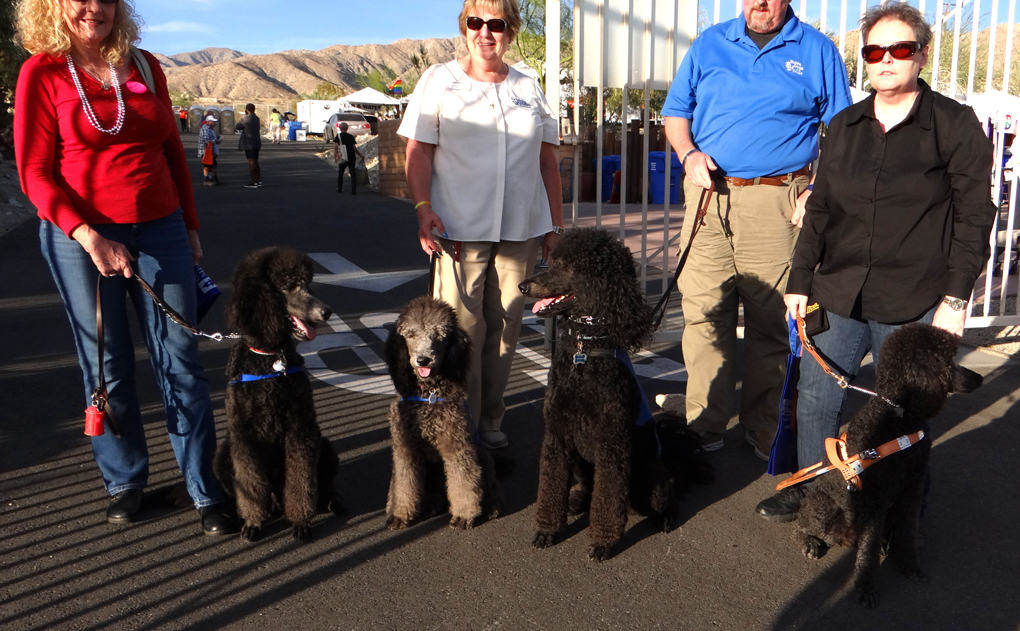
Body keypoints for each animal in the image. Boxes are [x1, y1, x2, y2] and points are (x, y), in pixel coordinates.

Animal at [213, 246, 344, 542]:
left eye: (307, 283)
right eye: (288, 286)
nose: (327, 312)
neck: (269, 359)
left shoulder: (300, 429)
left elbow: (301, 479)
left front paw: (300, 522)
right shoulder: (243, 436)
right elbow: (250, 484)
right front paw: (253, 521)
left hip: (326, 447)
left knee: (323, 485)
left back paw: (333, 501)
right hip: (223, 456)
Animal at [383, 295, 501, 530]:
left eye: (439, 335)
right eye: (411, 334)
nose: (423, 360)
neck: (428, 395)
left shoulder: (457, 445)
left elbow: (463, 481)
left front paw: (464, 515)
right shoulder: (405, 448)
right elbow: (403, 483)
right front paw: (399, 514)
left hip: (482, 454)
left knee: (487, 485)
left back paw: (491, 506)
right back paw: (430, 504)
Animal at [522, 228, 705, 562]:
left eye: (568, 267)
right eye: (553, 260)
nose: (523, 286)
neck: (585, 349)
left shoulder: (612, 444)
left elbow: (608, 498)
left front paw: (603, 542)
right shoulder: (557, 436)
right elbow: (551, 487)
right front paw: (547, 530)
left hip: (648, 475)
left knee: (663, 498)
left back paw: (665, 518)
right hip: (581, 462)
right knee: (589, 488)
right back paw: (577, 501)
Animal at [791, 324, 983, 611]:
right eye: (948, 361)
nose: (979, 378)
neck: (899, 417)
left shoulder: (913, 487)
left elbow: (908, 530)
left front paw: (910, 565)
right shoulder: (876, 498)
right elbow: (868, 549)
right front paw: (866, 586)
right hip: (824, 505)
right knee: (803, 526)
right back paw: (809, 542)